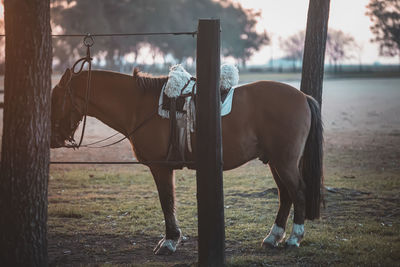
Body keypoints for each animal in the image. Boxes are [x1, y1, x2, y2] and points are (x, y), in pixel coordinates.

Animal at [50, 68, 324, 255]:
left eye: (55, 98)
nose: (53, 138)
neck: (139, 106)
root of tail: (303, 96)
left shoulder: (160, 168)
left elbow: (166, 201)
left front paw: (170, 240)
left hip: (285, 161)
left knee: (298, 192)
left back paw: (294, 238)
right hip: (275, 161)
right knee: (285, 195)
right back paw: (273, 237)